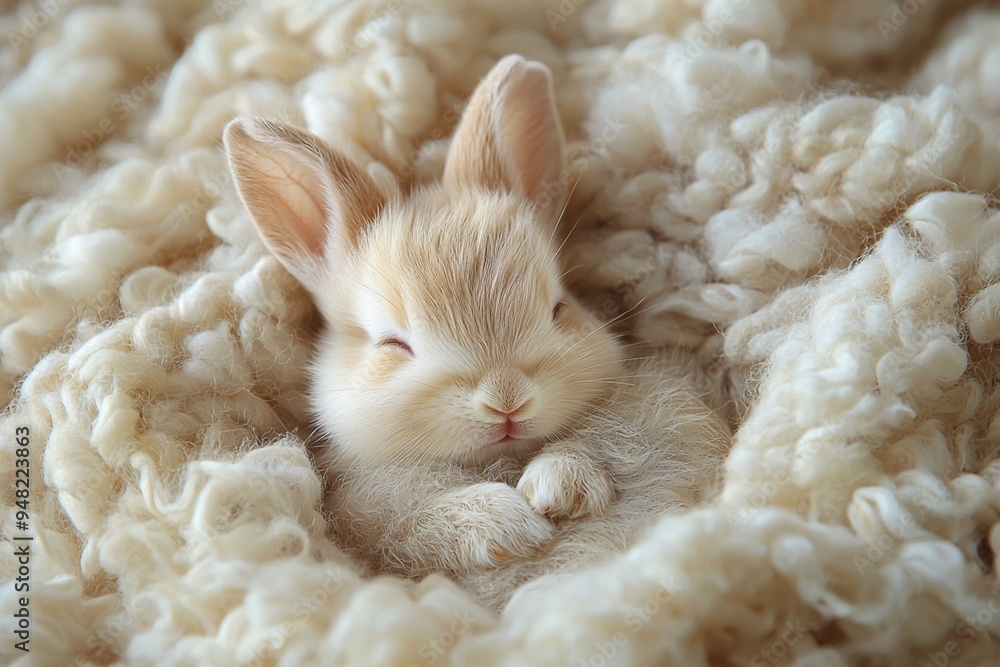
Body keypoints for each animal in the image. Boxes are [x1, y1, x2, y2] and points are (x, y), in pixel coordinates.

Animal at [223, 55, 731, 611]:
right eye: (393, 345)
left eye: (558, 309)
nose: (507, 401)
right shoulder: (372, 508)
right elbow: (420, 520)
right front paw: (513, 525)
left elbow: (596, 442)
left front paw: (557, 490)